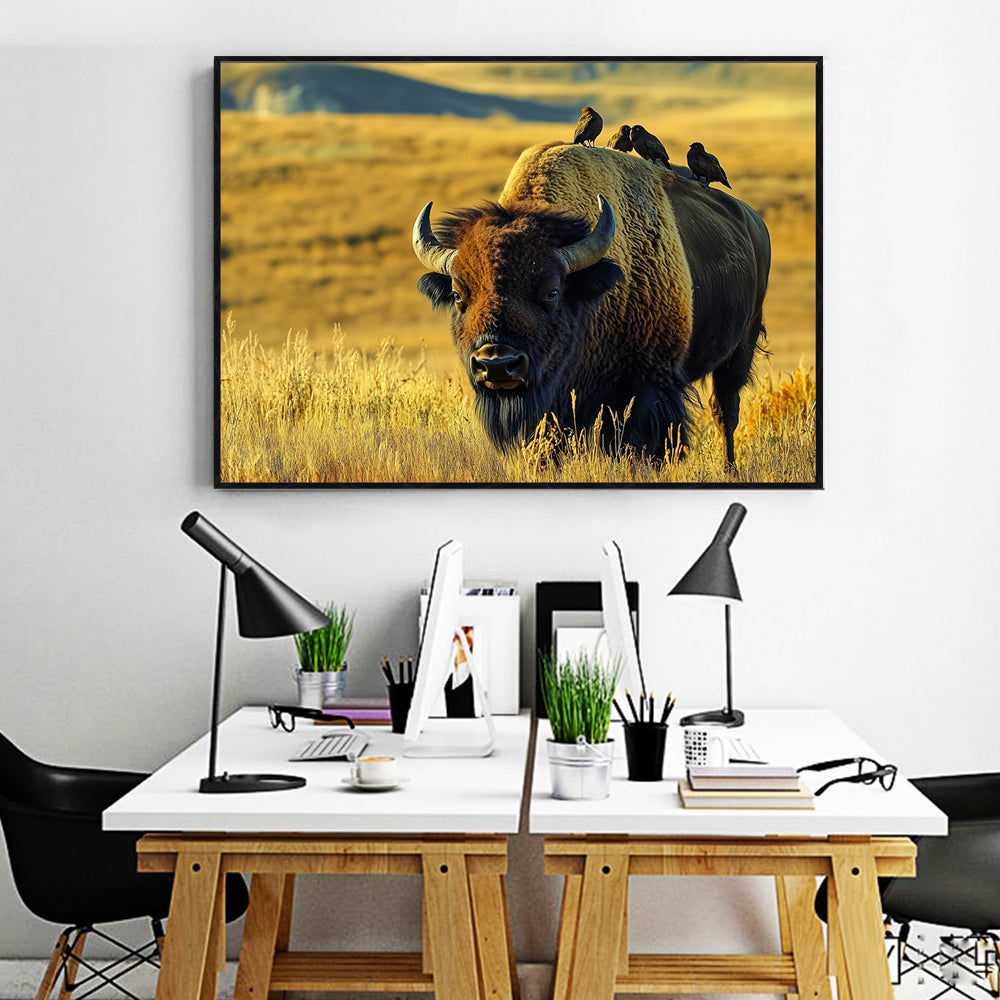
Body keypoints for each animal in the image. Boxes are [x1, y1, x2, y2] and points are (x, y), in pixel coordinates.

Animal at [412, 141, 770, 467]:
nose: (497, 364)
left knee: (725, 409)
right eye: (458, 295)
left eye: (552, 291)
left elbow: (635, 442)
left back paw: (730, 468)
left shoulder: (645, 383)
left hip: (740, 350)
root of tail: (753, 222)